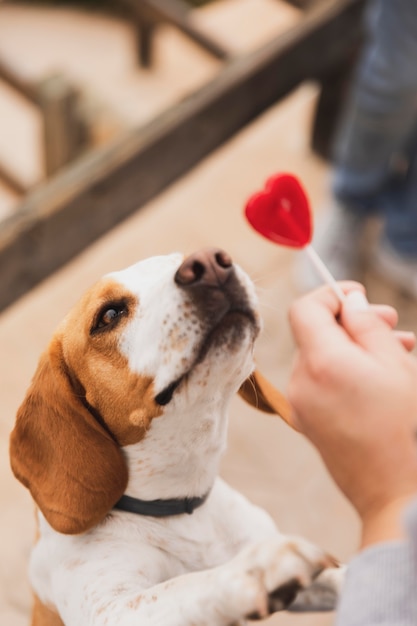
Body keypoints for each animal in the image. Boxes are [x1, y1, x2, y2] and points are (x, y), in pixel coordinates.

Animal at [10, 247, 342, 624]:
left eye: (177, 259)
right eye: (109, 315)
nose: (211, 264)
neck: (181, 505)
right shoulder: (111, 609)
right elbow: (187, 585)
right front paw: (256, 569)